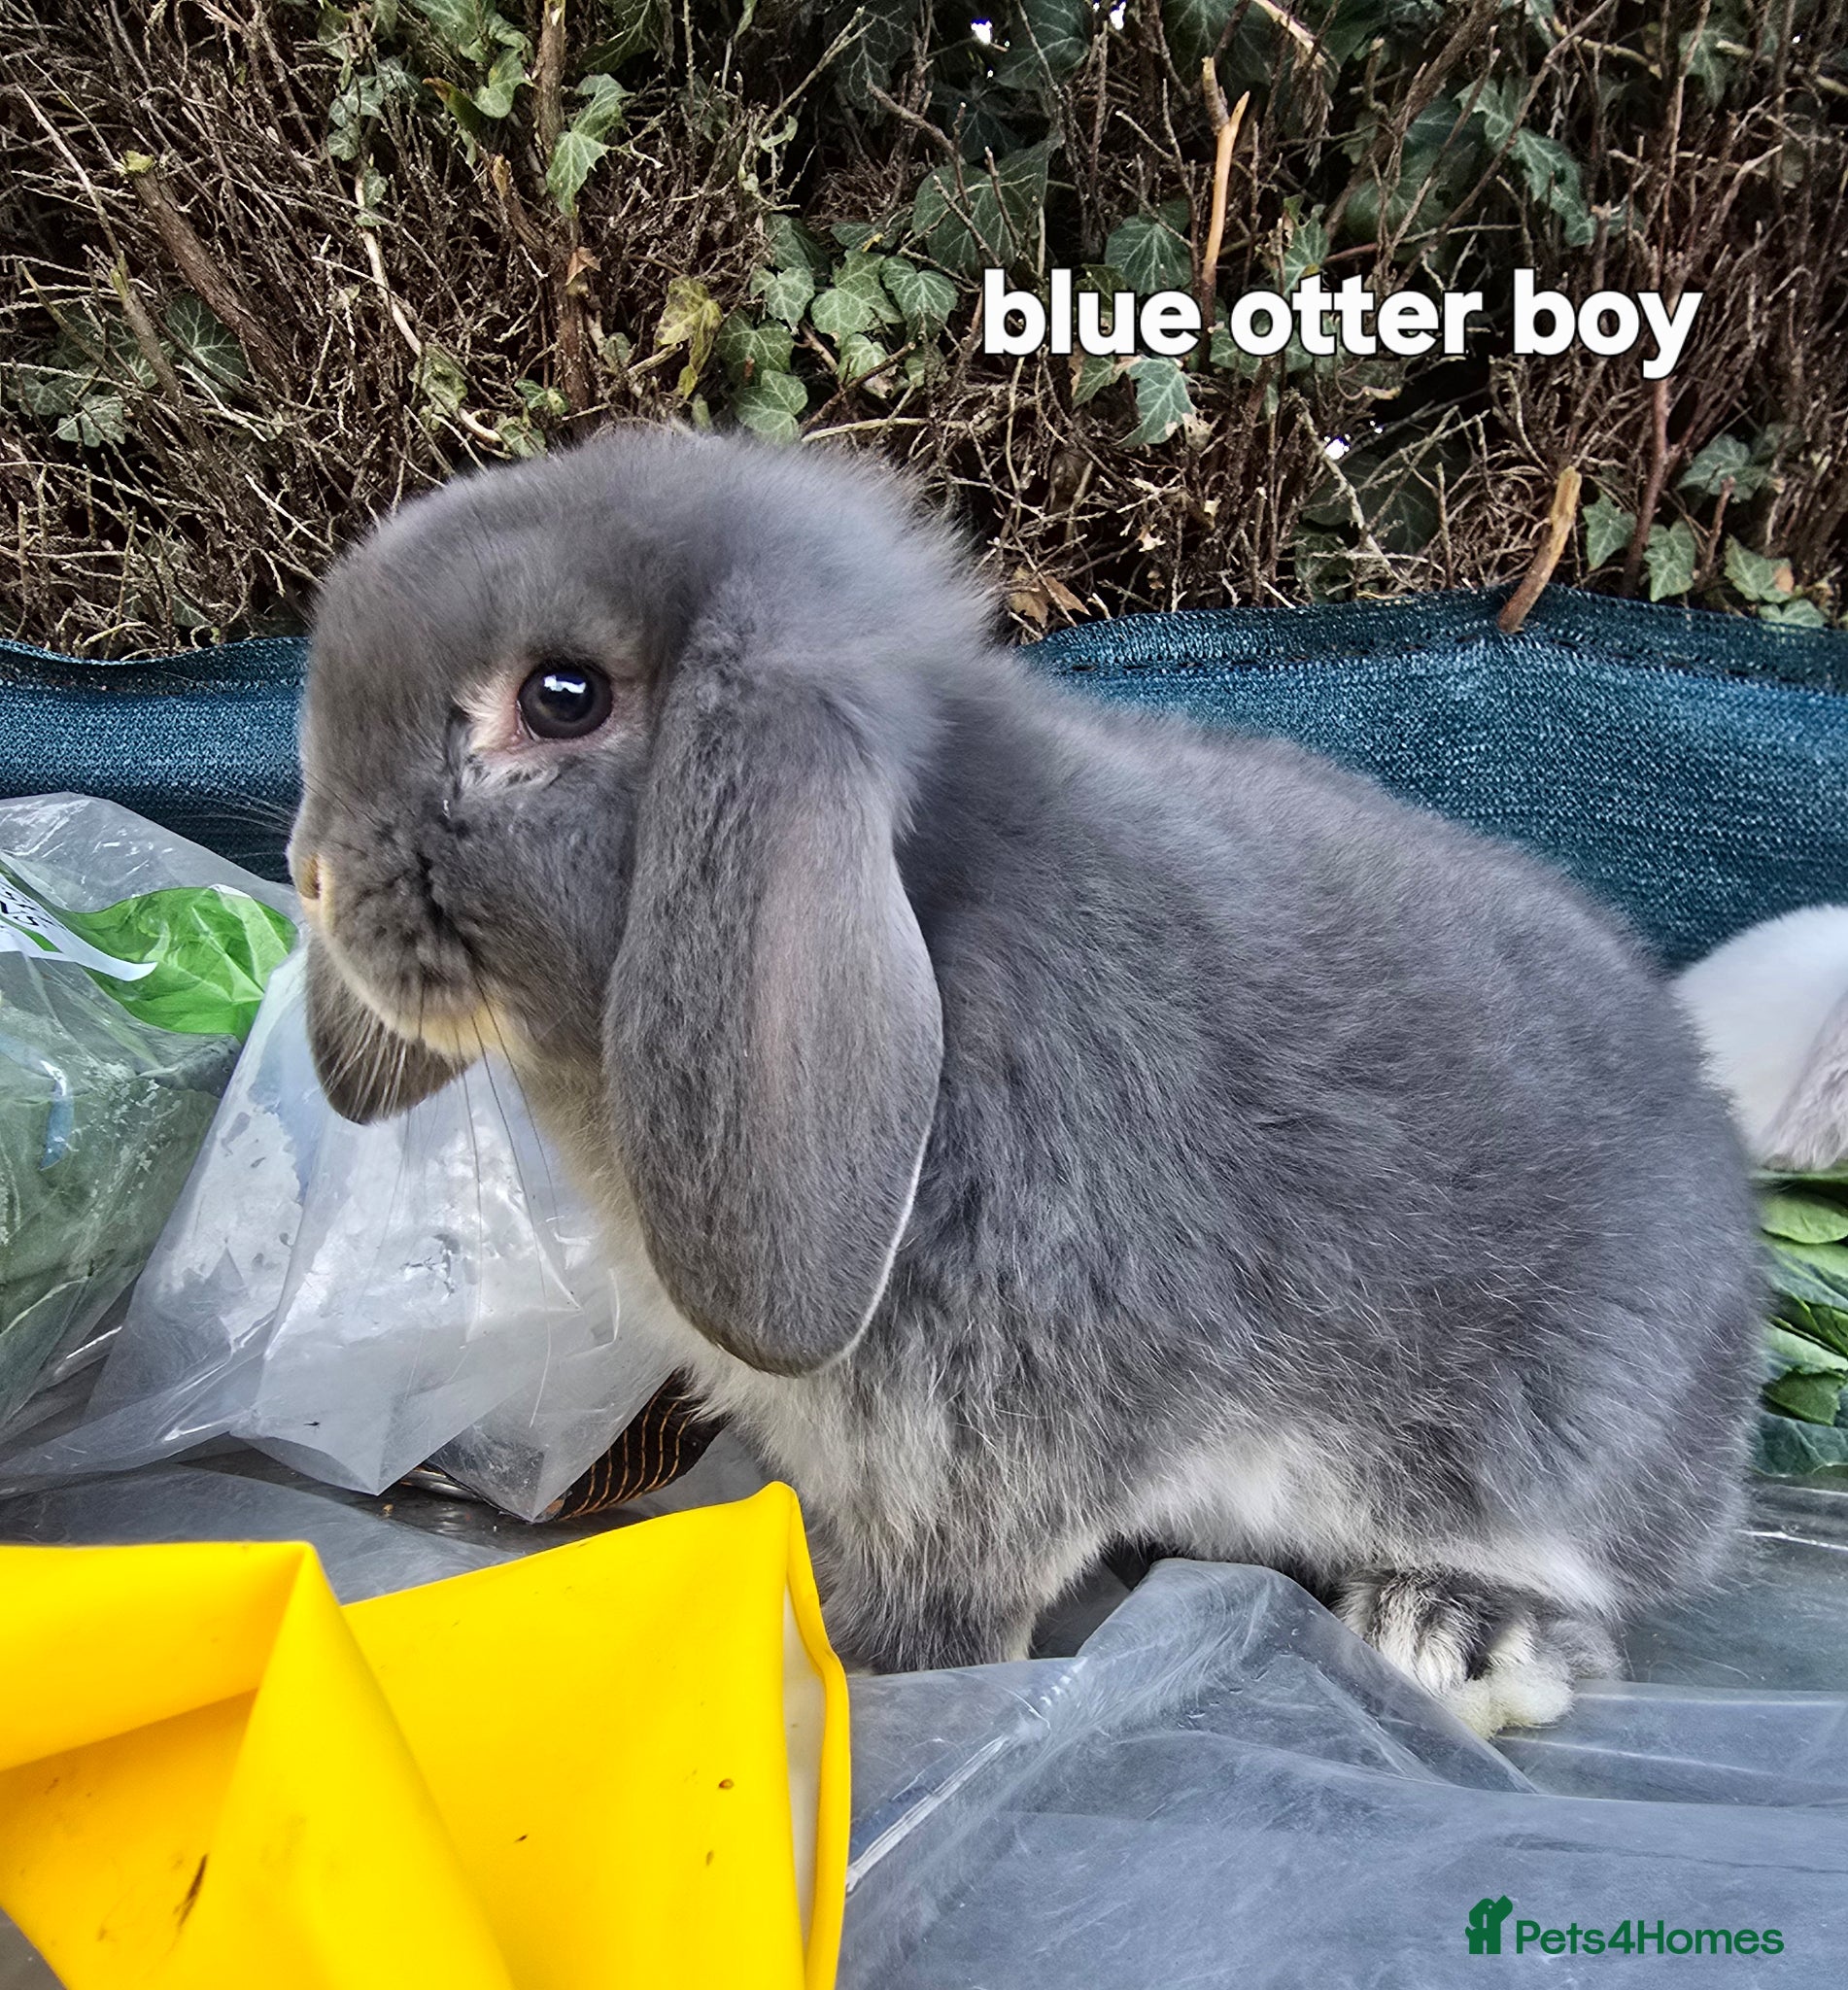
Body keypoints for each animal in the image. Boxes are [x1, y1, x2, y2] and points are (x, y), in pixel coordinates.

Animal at [290, 425, 1762, 1736]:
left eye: (562, 697)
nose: (308, 870)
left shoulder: (984, 1447)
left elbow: (945, 1604)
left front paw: (862, 1680)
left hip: (1543, 1448)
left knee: (1584, 1608)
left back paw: (1450, 1634)